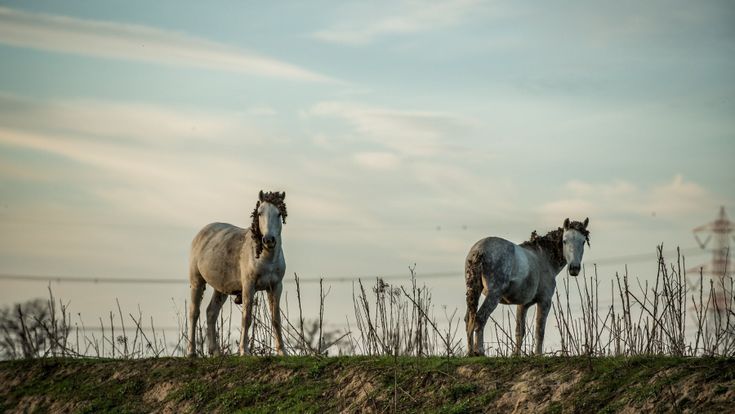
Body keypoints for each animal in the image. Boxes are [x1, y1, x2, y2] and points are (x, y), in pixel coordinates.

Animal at [187, 190, 288, 357]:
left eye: (279, 213)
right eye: (260, 213)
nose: (268, 240)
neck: (266, 257)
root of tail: (202, 233)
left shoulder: (276, 287)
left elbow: (276, 319)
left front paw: (282, 351)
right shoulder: (248, 286)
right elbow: (246, 318)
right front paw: (244, 351)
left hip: (221, 289)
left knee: (211, 313)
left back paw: (215, 352)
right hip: (197, 282)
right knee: (194, 313)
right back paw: (191, 352)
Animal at [464, 218, 590, 356]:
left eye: (583, 241)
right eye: (564, 241)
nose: (574, 268)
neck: (544, 258)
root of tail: (479, 250)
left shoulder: (522, 305)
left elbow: (520, 331)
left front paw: (516, 355)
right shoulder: (544, 301)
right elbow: (539, 330)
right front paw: (538, 354)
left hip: (474, 291)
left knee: (469, 319)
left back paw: (470, 352)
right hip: (493, 295)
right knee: (480, 318)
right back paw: (479, 351)